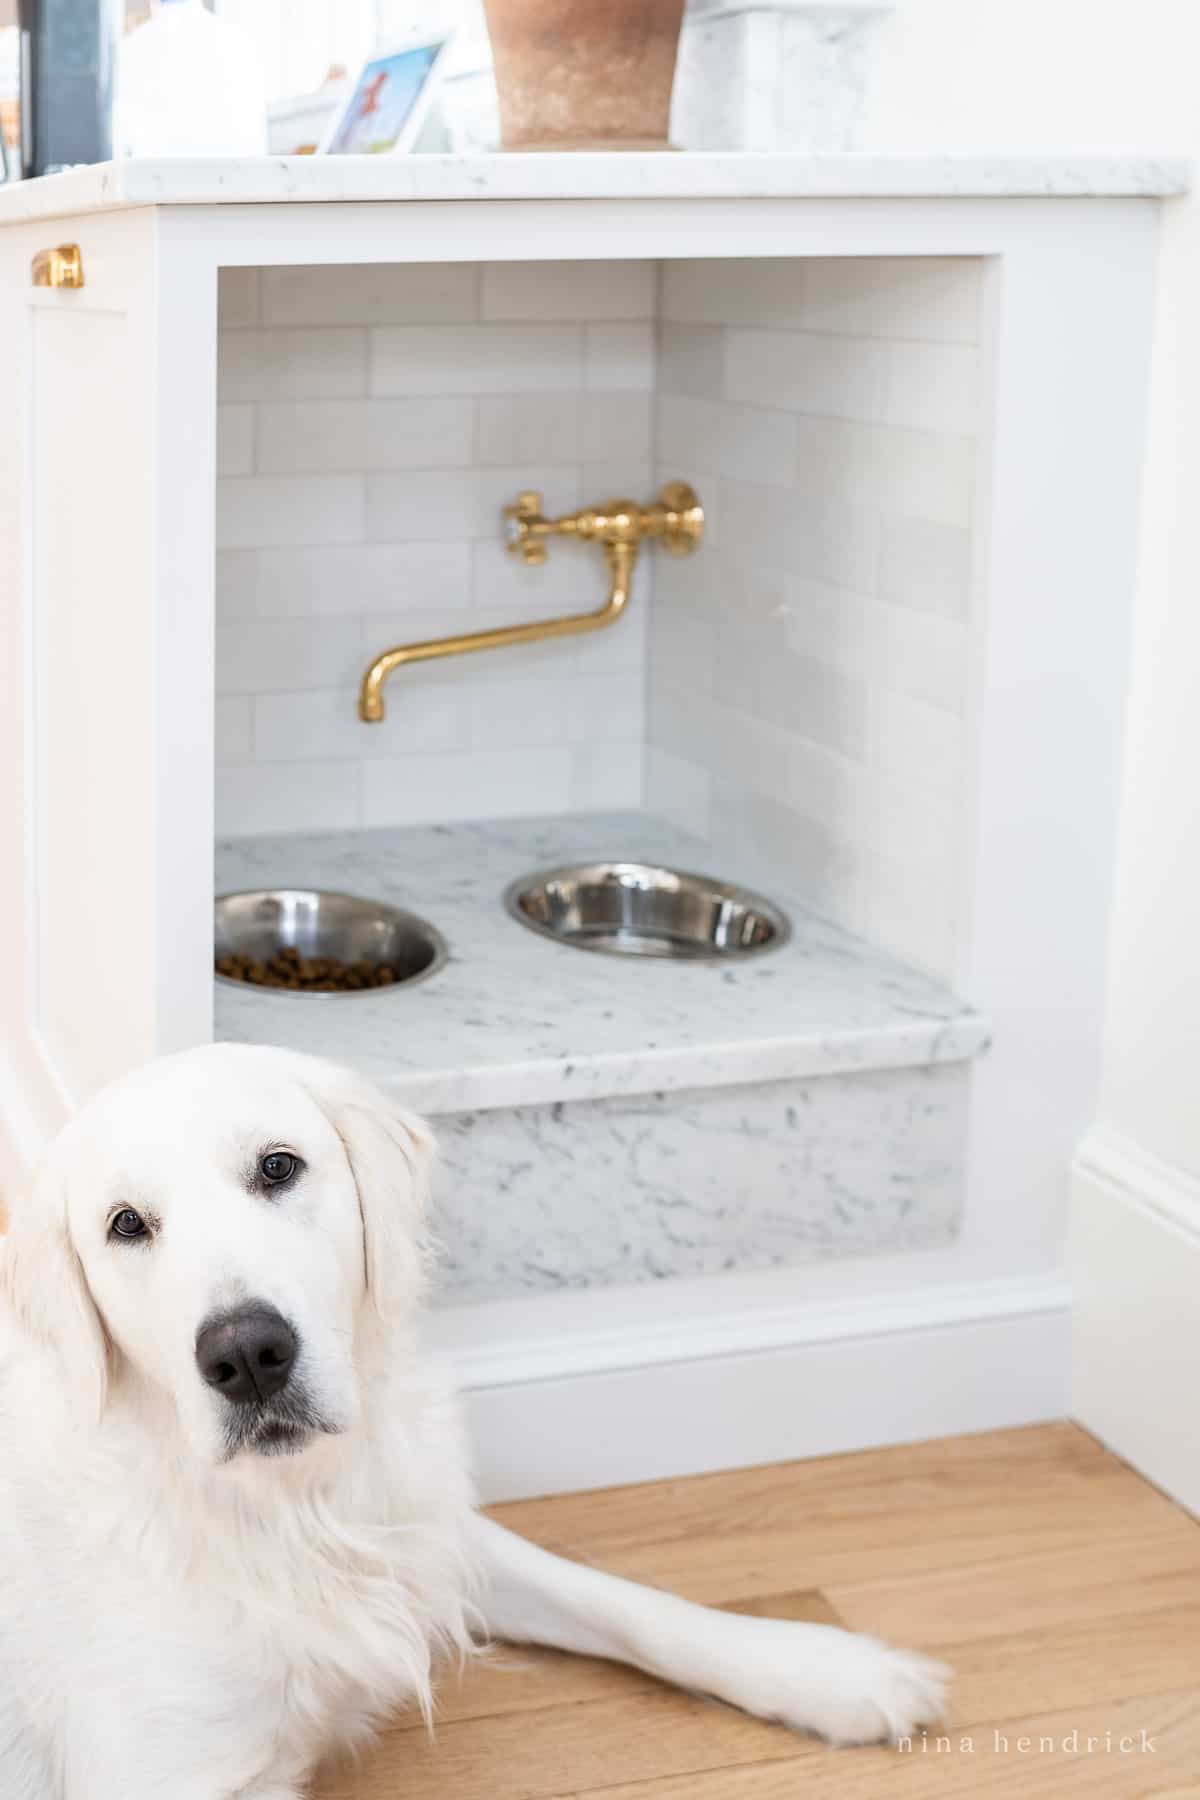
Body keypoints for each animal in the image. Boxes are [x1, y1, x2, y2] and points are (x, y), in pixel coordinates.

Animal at [0, 1044, 949, 1800]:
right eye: (126, 1225)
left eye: (277, 1167)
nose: (247, 1355)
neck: (295, 1507)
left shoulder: (426, 1525)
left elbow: (621, 1601)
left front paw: (831, 1669)